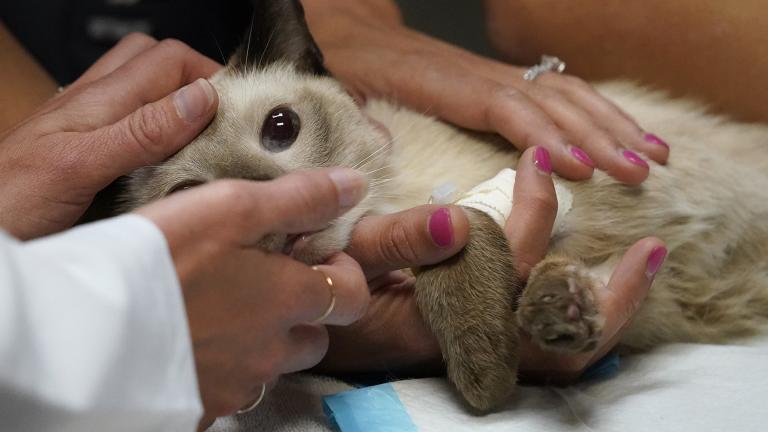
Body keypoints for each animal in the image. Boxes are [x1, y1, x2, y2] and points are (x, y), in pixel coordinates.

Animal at [120, 0, 768, 412]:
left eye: (281, 128)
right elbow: (463, 237)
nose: (280, 216)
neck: (388, 202)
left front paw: (491, 367)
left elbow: (468, 221)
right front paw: (537, 329)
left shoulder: (540, 167)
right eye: (196, 200)